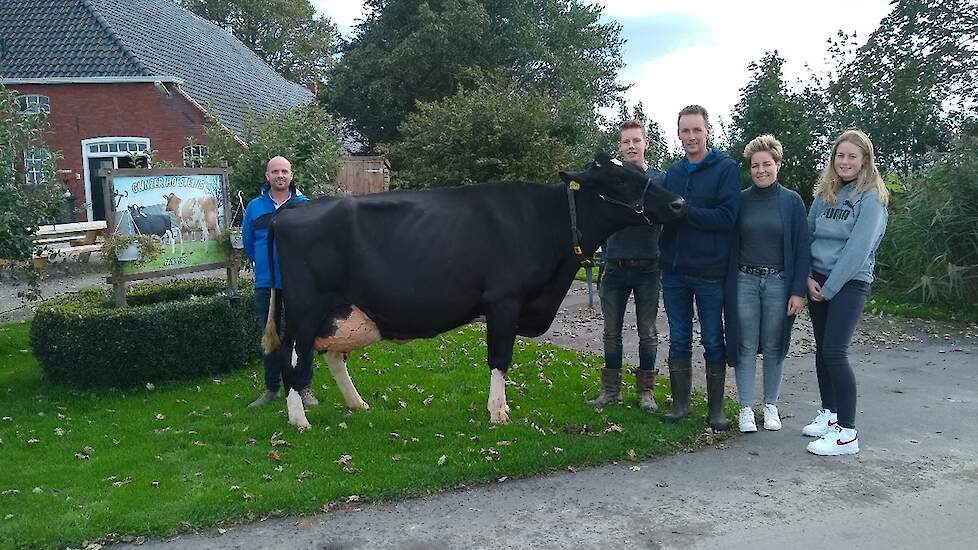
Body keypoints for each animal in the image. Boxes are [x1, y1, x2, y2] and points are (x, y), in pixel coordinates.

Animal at [264, 155, 684, 432]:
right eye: (620, 181)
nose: (679, 203)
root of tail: (288, 212)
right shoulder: (504, 300)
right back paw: (298, 419)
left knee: (333, 355)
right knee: (291, 354)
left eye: (640, 171)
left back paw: (357, 403)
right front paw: (498, 411)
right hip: (305, 307)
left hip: (338, 309)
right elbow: (500, 357)